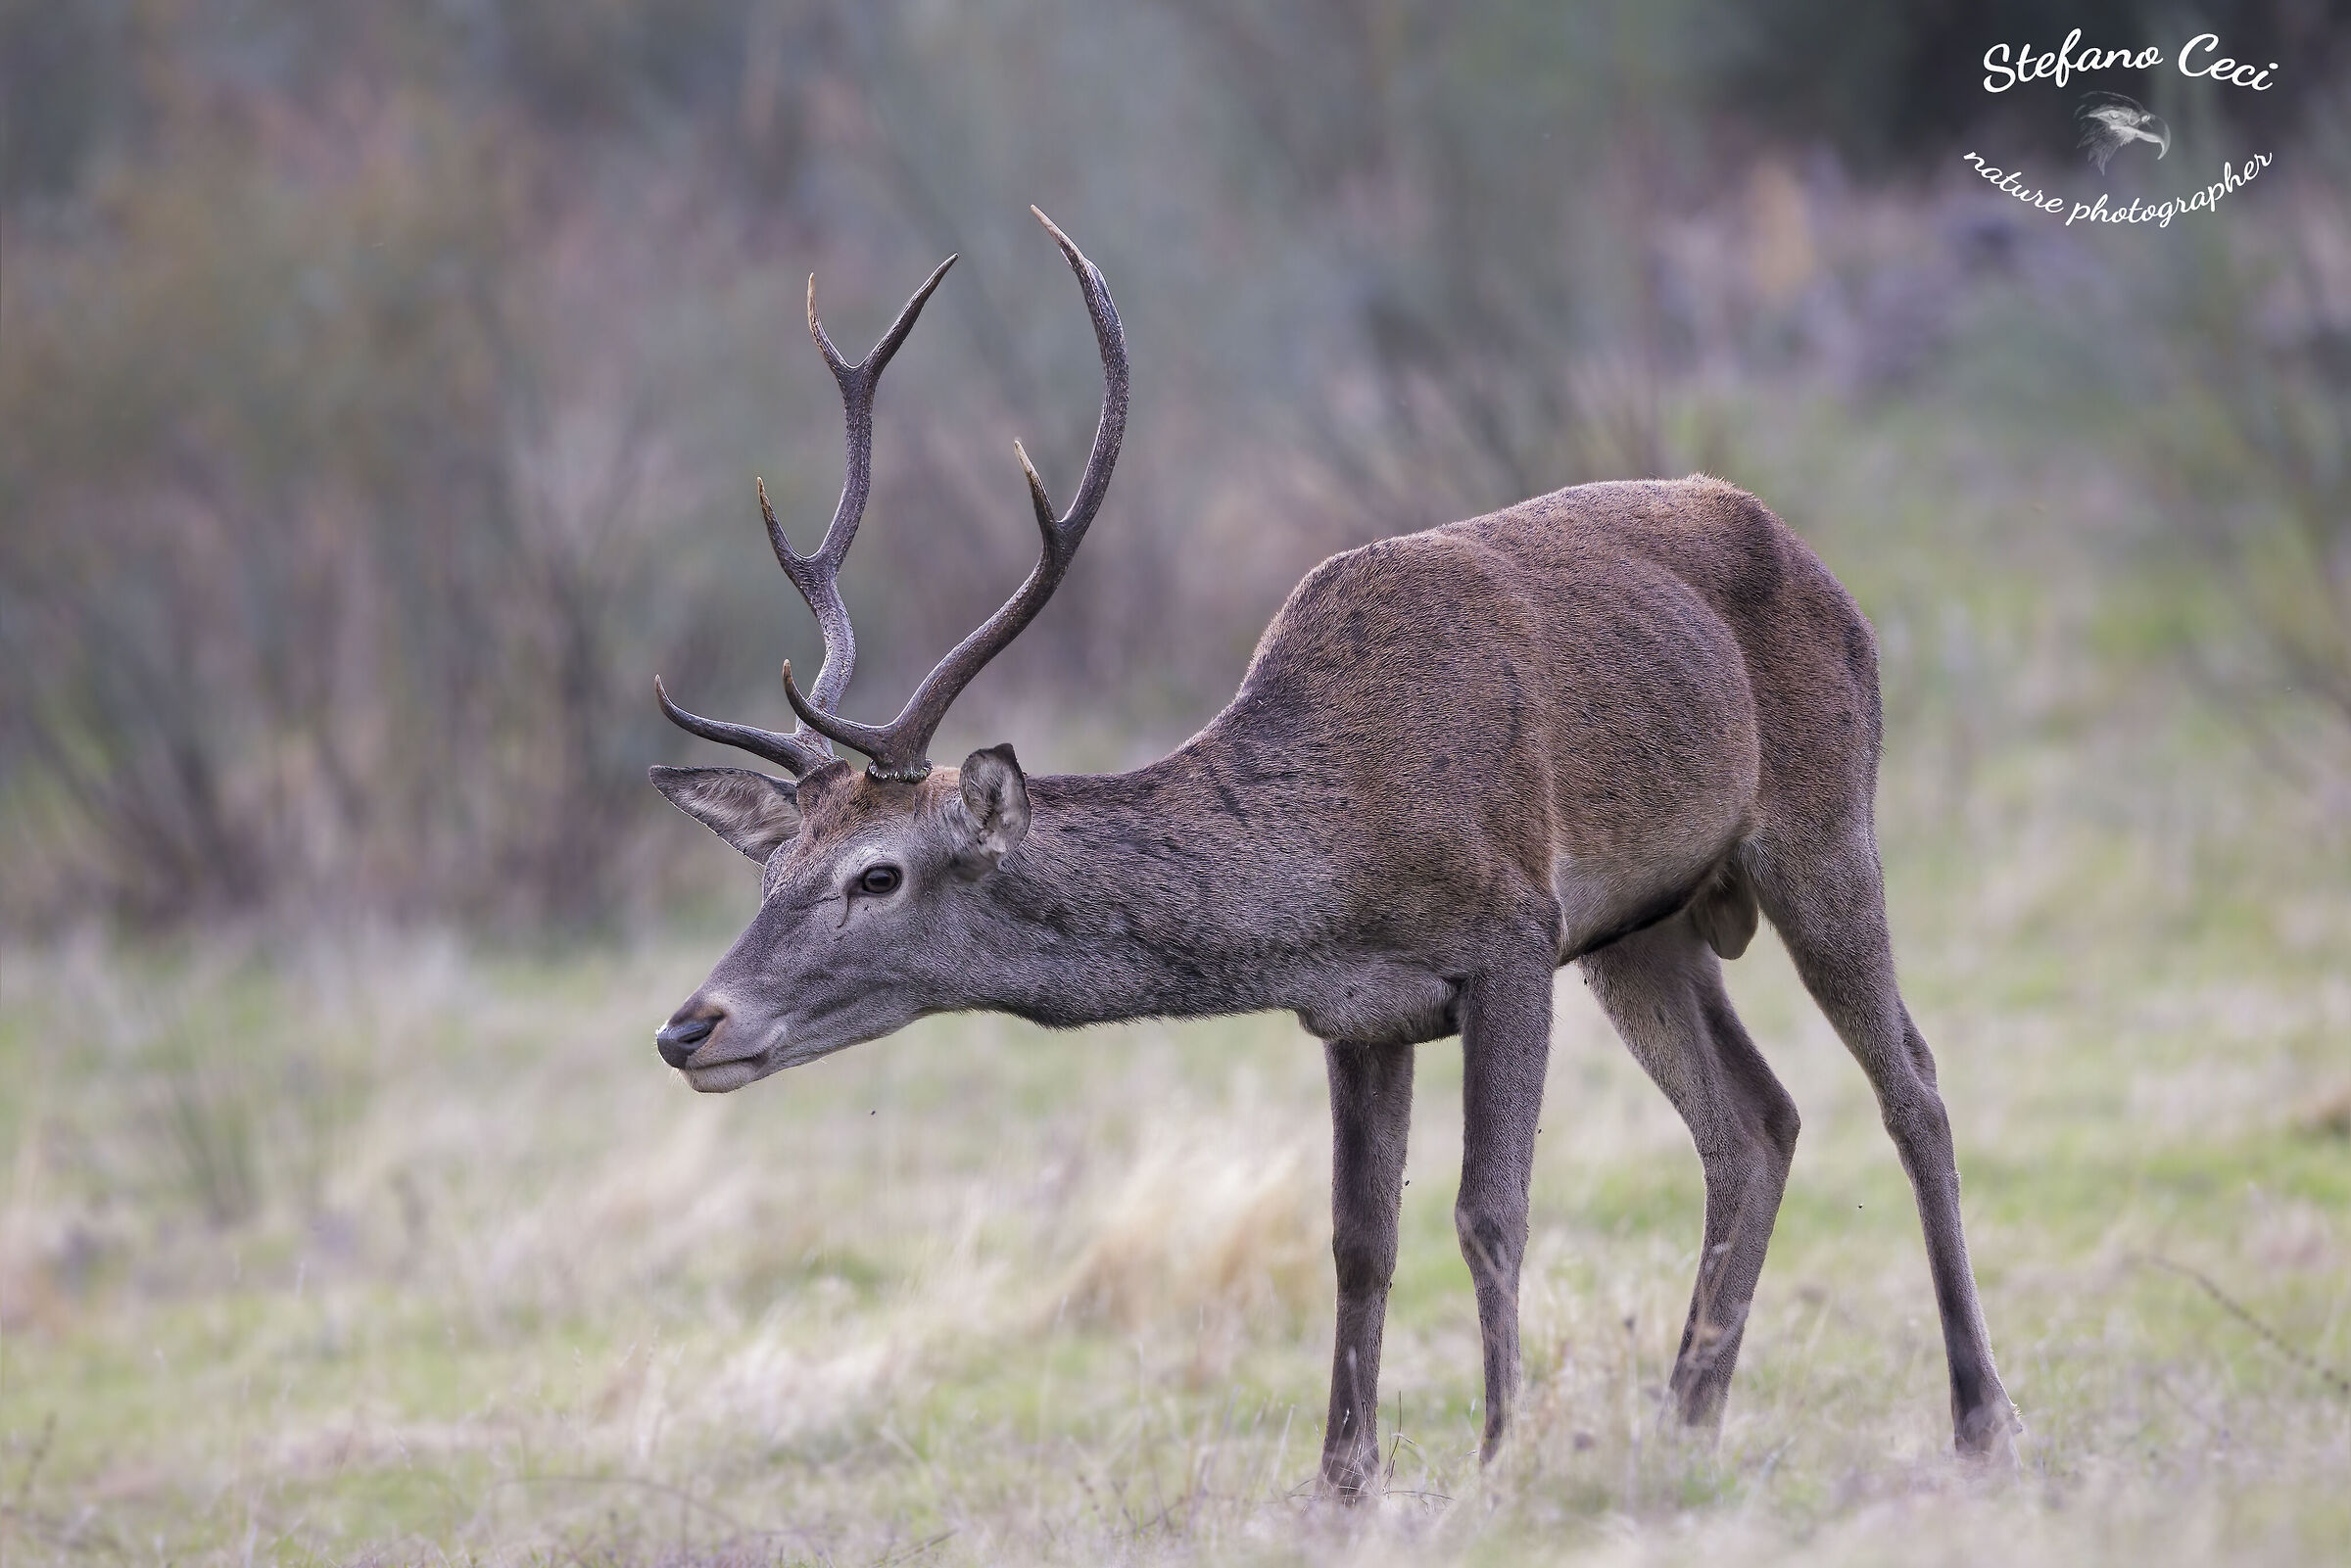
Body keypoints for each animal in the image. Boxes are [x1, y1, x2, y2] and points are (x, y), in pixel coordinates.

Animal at [647, 208, 2021, 1495]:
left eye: (876, 873)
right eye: (769, 871)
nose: (689, 1025)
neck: (1336, 848)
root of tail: (1817, 563)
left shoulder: (1512, 932)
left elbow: (1489, 1209)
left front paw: (1498, 1456)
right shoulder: (1357, 1011)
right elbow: (1361, 1242)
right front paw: (1342, 1483)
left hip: (1825, 822)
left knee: (1911, 1081)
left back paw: (1978, 1415)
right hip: (1648, 929)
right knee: (1755, 1120)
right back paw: (1686, 1419)